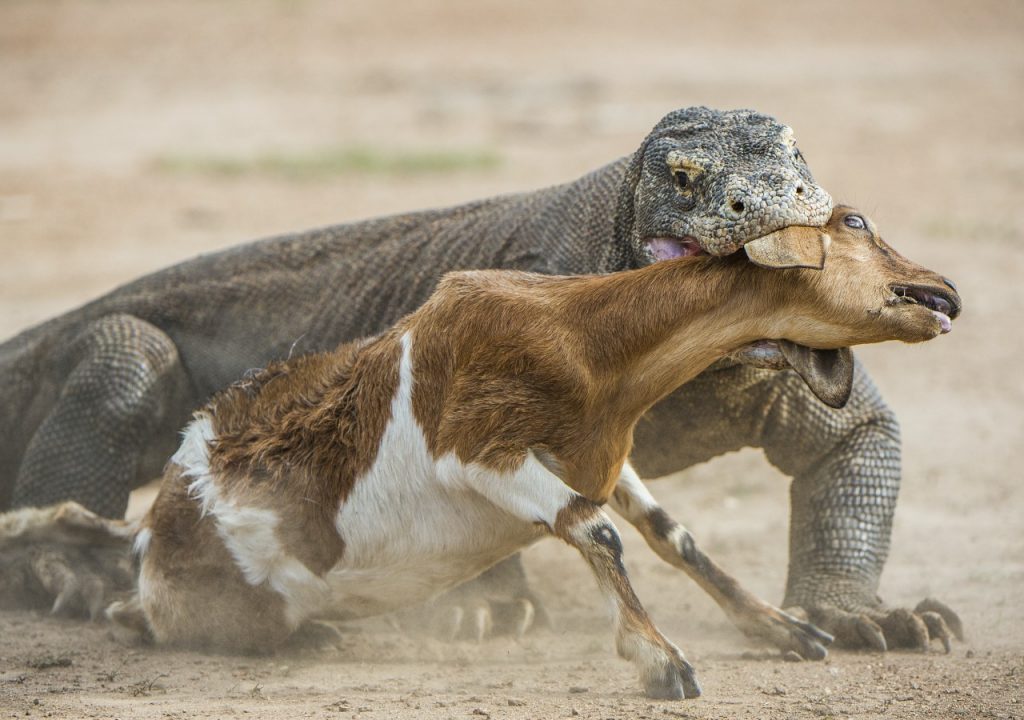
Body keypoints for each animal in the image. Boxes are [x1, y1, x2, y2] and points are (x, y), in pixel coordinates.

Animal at [41, 205, 958, 700]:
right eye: (855, 222)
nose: (944, 290)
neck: (583, 337)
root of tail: (154, 531)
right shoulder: (481, 453)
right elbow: (596, 531)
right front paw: (661, 662)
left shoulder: (604, 459)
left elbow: (673, 536)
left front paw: (785, 630)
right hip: (212, 609)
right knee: (147, 620)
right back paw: (303, 635)